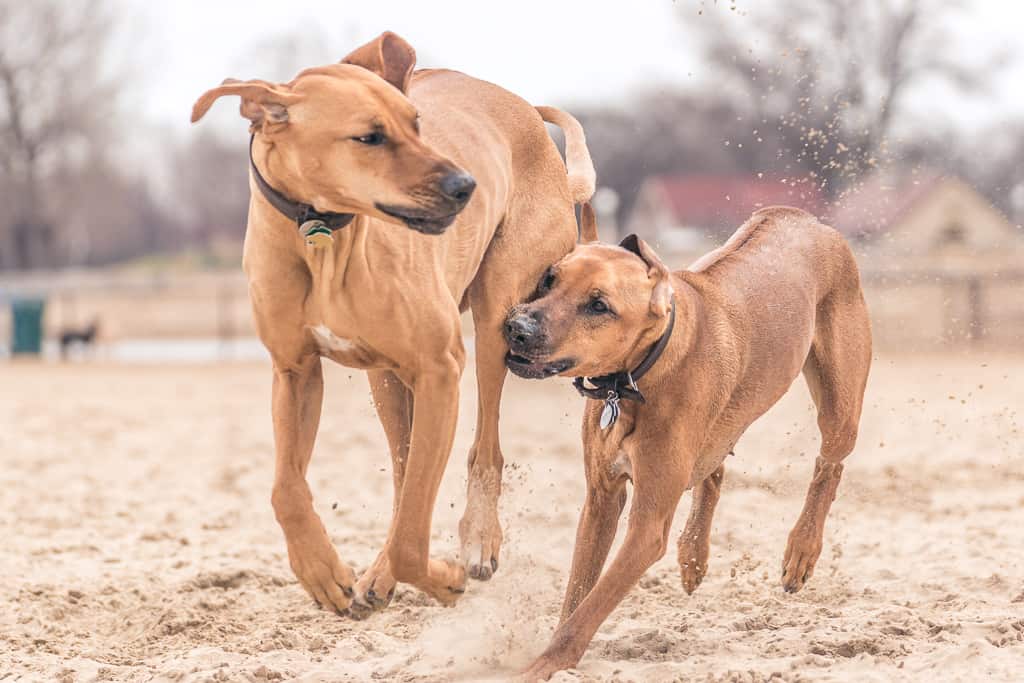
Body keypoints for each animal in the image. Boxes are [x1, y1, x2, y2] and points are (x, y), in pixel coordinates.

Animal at [189, 31, 598, 618]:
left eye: (416, 123)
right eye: (369, 137)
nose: (465, 185)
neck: (323, 235)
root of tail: (523, 107)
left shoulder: (440, 369)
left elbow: (411, 536)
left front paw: (443, 578)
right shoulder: (294, 371)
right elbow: (287, 489)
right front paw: (322, 572)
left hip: (497, 320)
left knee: (483, 448)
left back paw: (478, 539)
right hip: (385, 378)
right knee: (407, 477)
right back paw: (381, 574)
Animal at [503, 206, 872, 679]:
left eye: (599, 306)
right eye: (549, 278)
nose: (517, 327)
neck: (638, 376)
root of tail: (803, 217)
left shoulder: (646, 529)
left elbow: (591, 607)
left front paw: (545, 664)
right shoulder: (600, 501)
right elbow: (577, 594)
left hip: (840, 405)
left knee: (830, 463)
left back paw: (802, 549)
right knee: (713, 469)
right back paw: (694, 554)